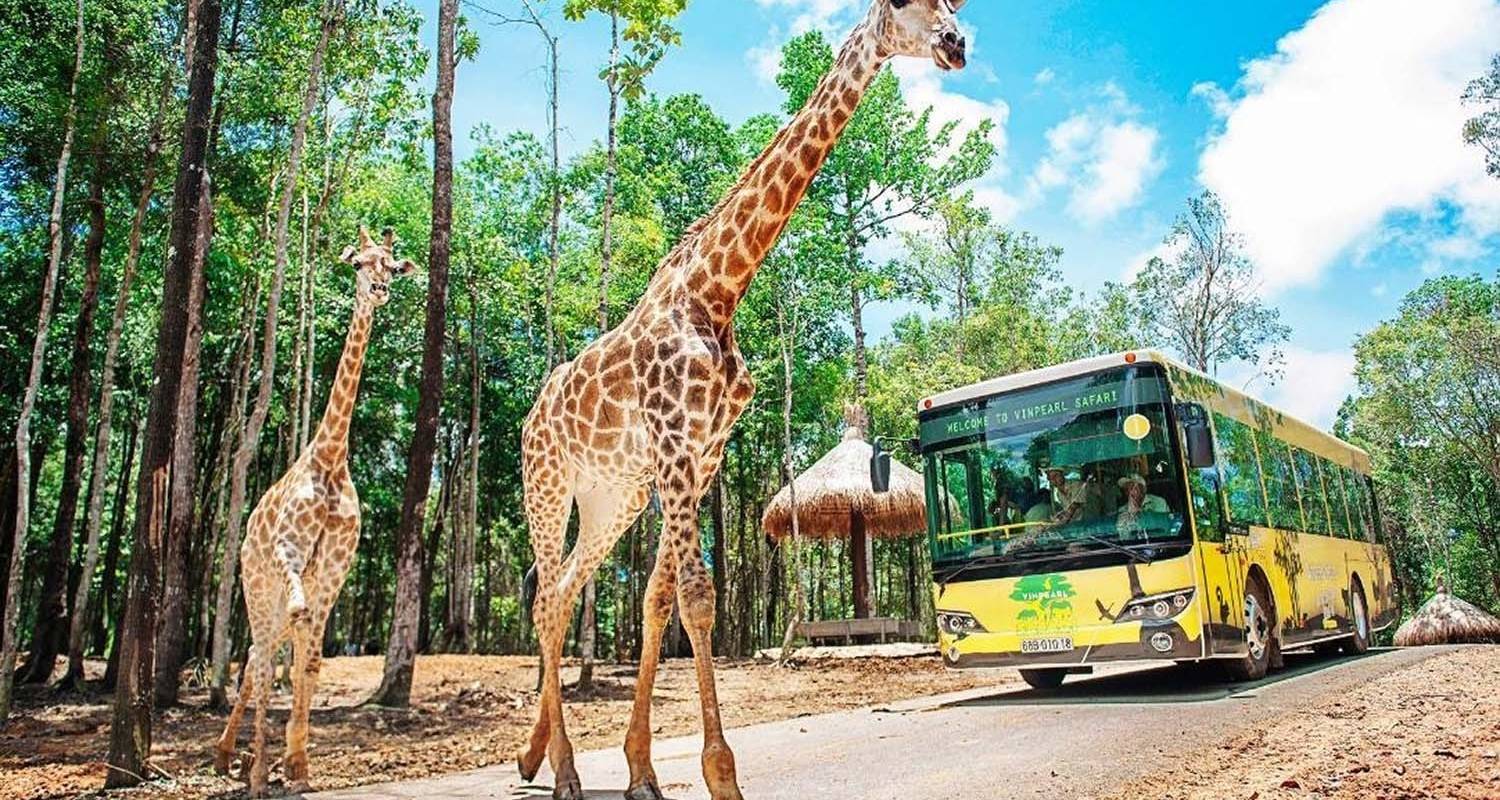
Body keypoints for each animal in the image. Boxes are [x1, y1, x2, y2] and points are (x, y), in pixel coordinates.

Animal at [213, 226, 417, 798]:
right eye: (358, 264)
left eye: (391, 265)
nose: (379, 291)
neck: (329, 458)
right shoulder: (290, 551)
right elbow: (289, 649)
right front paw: (268, 769)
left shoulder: (333, 568)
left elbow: (312, 659)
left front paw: (299, 764)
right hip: (257, 584)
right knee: (259, 657)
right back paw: (241, 763)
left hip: (280, 593)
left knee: (264, 652)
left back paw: (234, 756)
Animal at [519, 3, 972, 792]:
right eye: (904, 7)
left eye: (957, 5)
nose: (956, 44)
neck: (718, 289)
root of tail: (528, 418)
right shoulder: (674, 442)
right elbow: (697, 600)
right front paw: (720, 774)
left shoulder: (702, 454)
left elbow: (658, 600)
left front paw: (643, 770)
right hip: (547, 485)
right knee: (546, 597)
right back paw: (566, 773)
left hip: (612, 497)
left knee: (566, 592)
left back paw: (540, 756)